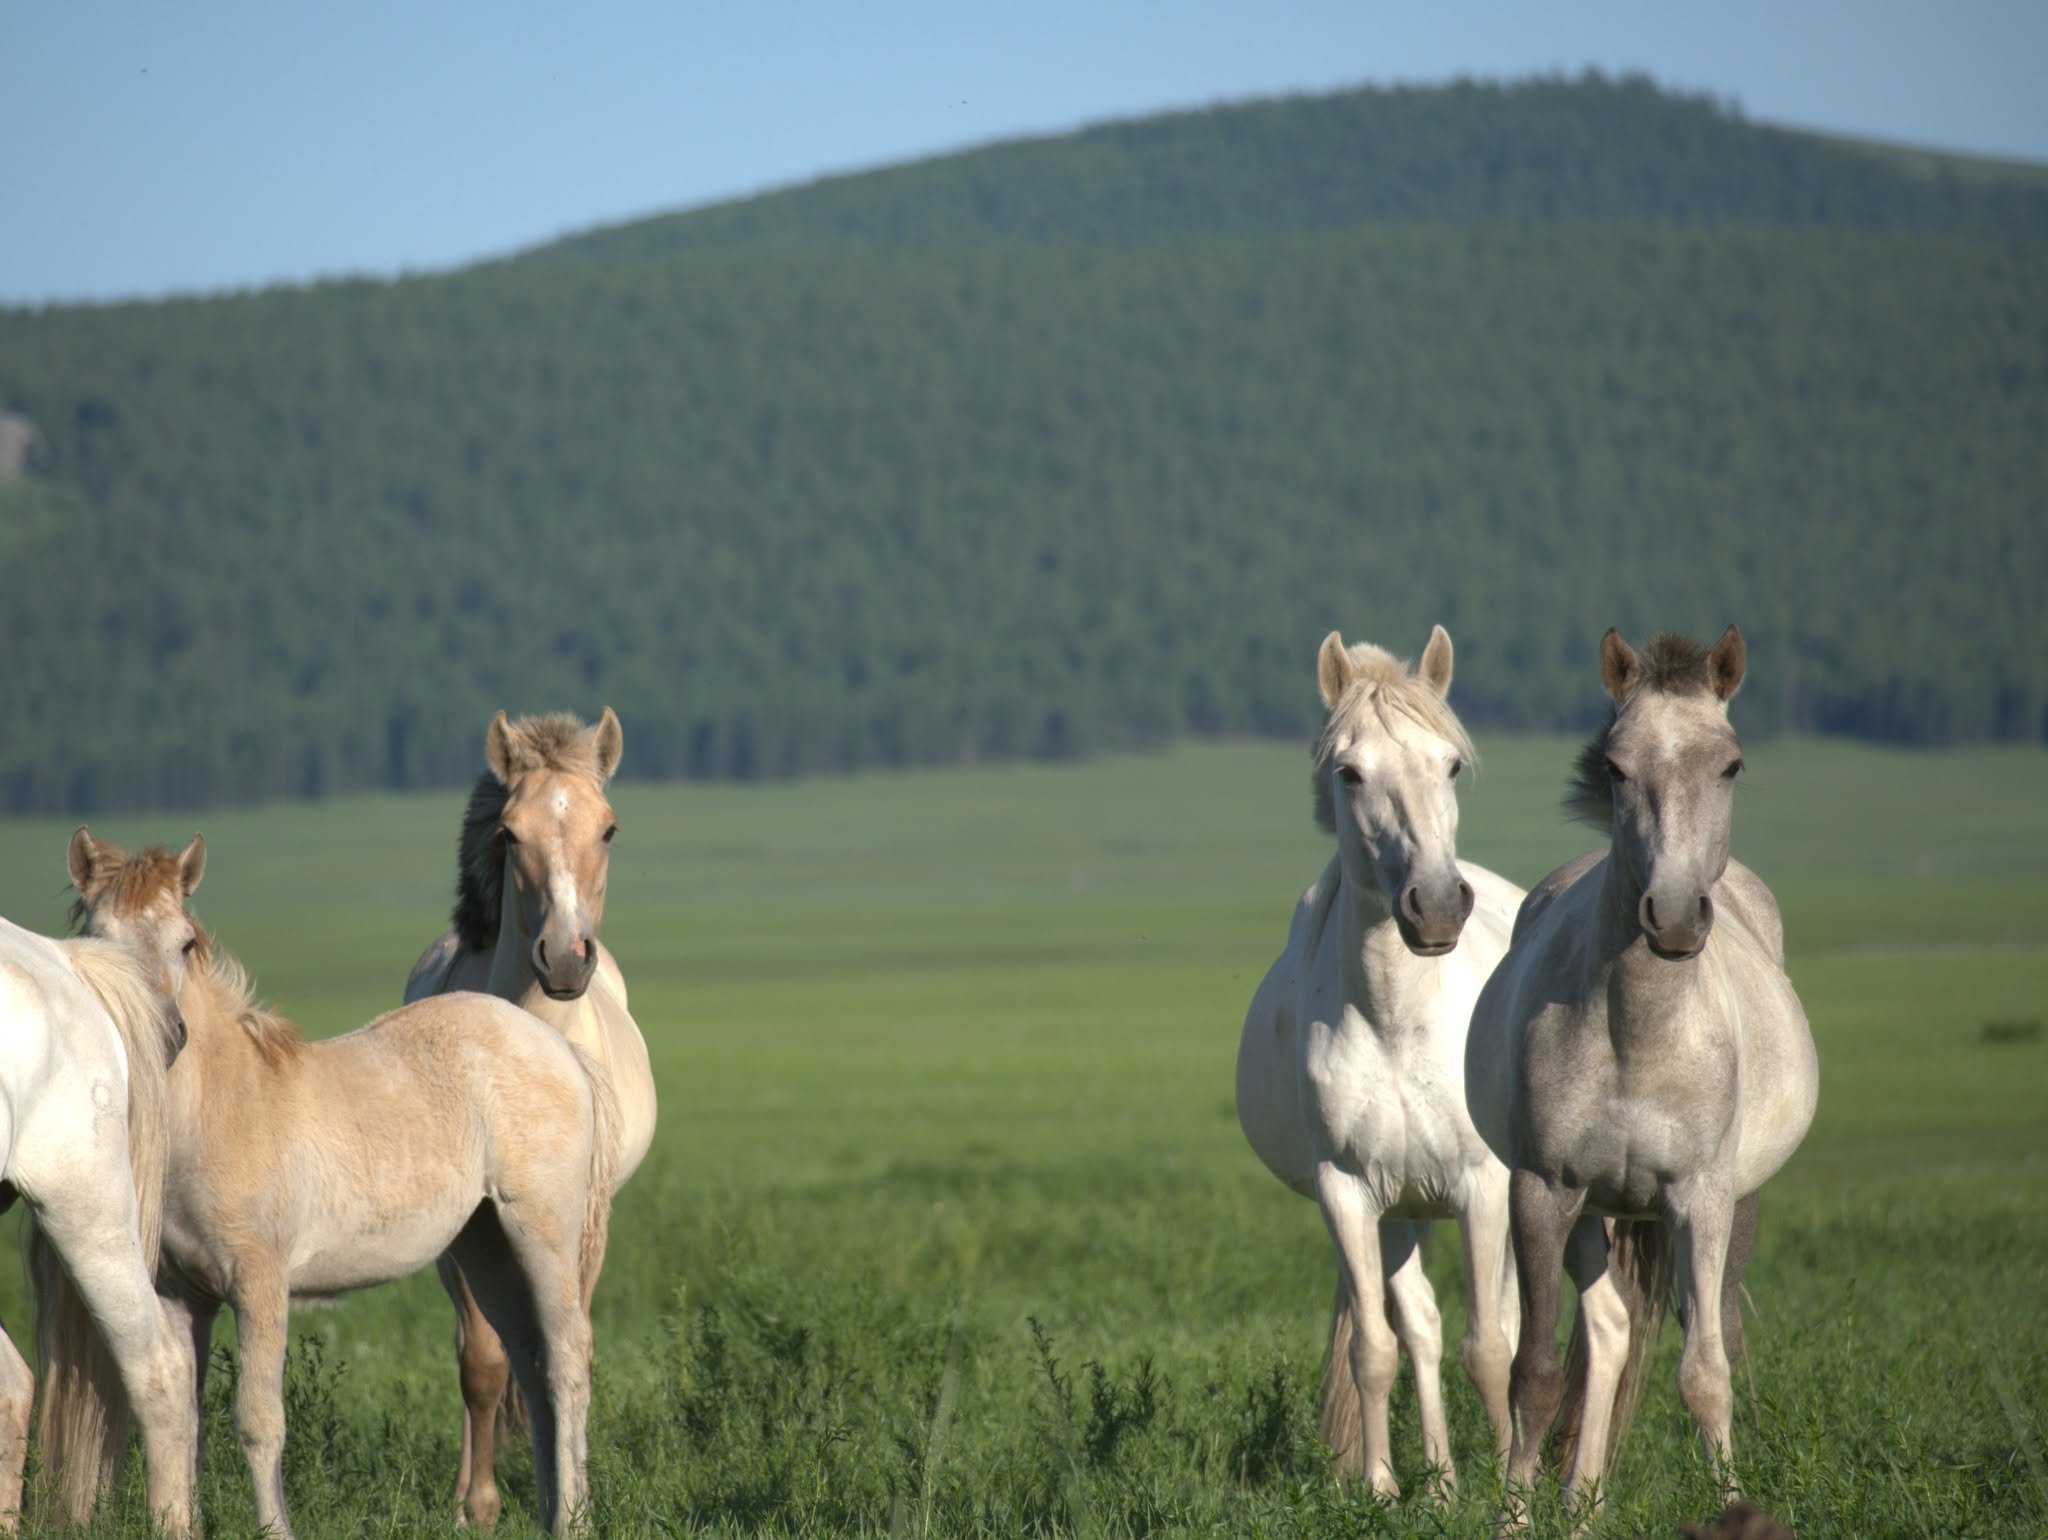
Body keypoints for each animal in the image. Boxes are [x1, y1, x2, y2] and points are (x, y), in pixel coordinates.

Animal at [69, 829, 620, 1539]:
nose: (164, 1037)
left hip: (542, 1229)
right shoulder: (181, 1297)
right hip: (487, 1245)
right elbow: (183, 1422)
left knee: (567, 1358)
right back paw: (553, 1512)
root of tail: (557, 1045)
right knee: (528, 1357)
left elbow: (258, 1423)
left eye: (185, 942)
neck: (221, 1110)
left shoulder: (260, 1287)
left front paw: (276, 1528)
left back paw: (573, 1518)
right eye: (96, 936)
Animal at [403, 707, 655, 1528]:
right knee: (471, 1347)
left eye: (609, 829)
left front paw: (577, 1493)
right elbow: (483, 1363)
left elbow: (569, 1342)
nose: (566, 958)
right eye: (510, 834)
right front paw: (476, 1507)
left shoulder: (585, 1211)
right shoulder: (469, 1226)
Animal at [1235, 626, 1527, 1497]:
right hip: (1403, 1211)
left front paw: (1518, 1496)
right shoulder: (1351, 1194)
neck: (1400, 1022)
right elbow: (1377, 1348)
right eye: (1350, 772)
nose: (1436, 906)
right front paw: (1382, 1490)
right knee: (1420, 1325)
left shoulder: (1483, 1187)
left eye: (1451, 765)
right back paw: (1441, 1483)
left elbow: (1491, 1348)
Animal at [1464, 628, 1818, 1525]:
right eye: (1618, 766)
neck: (1641, 1032)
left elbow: (1703, 1376)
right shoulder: (1543, 1192)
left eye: (1731, 765)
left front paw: (1733, 1507)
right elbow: (1537, 1374)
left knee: (1714, 1330)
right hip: (1596, 1210)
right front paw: (1516, 1517)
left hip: (1736, 1204)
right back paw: (1579, 1505)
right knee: (1610, 1333)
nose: (1676, 915)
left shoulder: (1700, 1196)